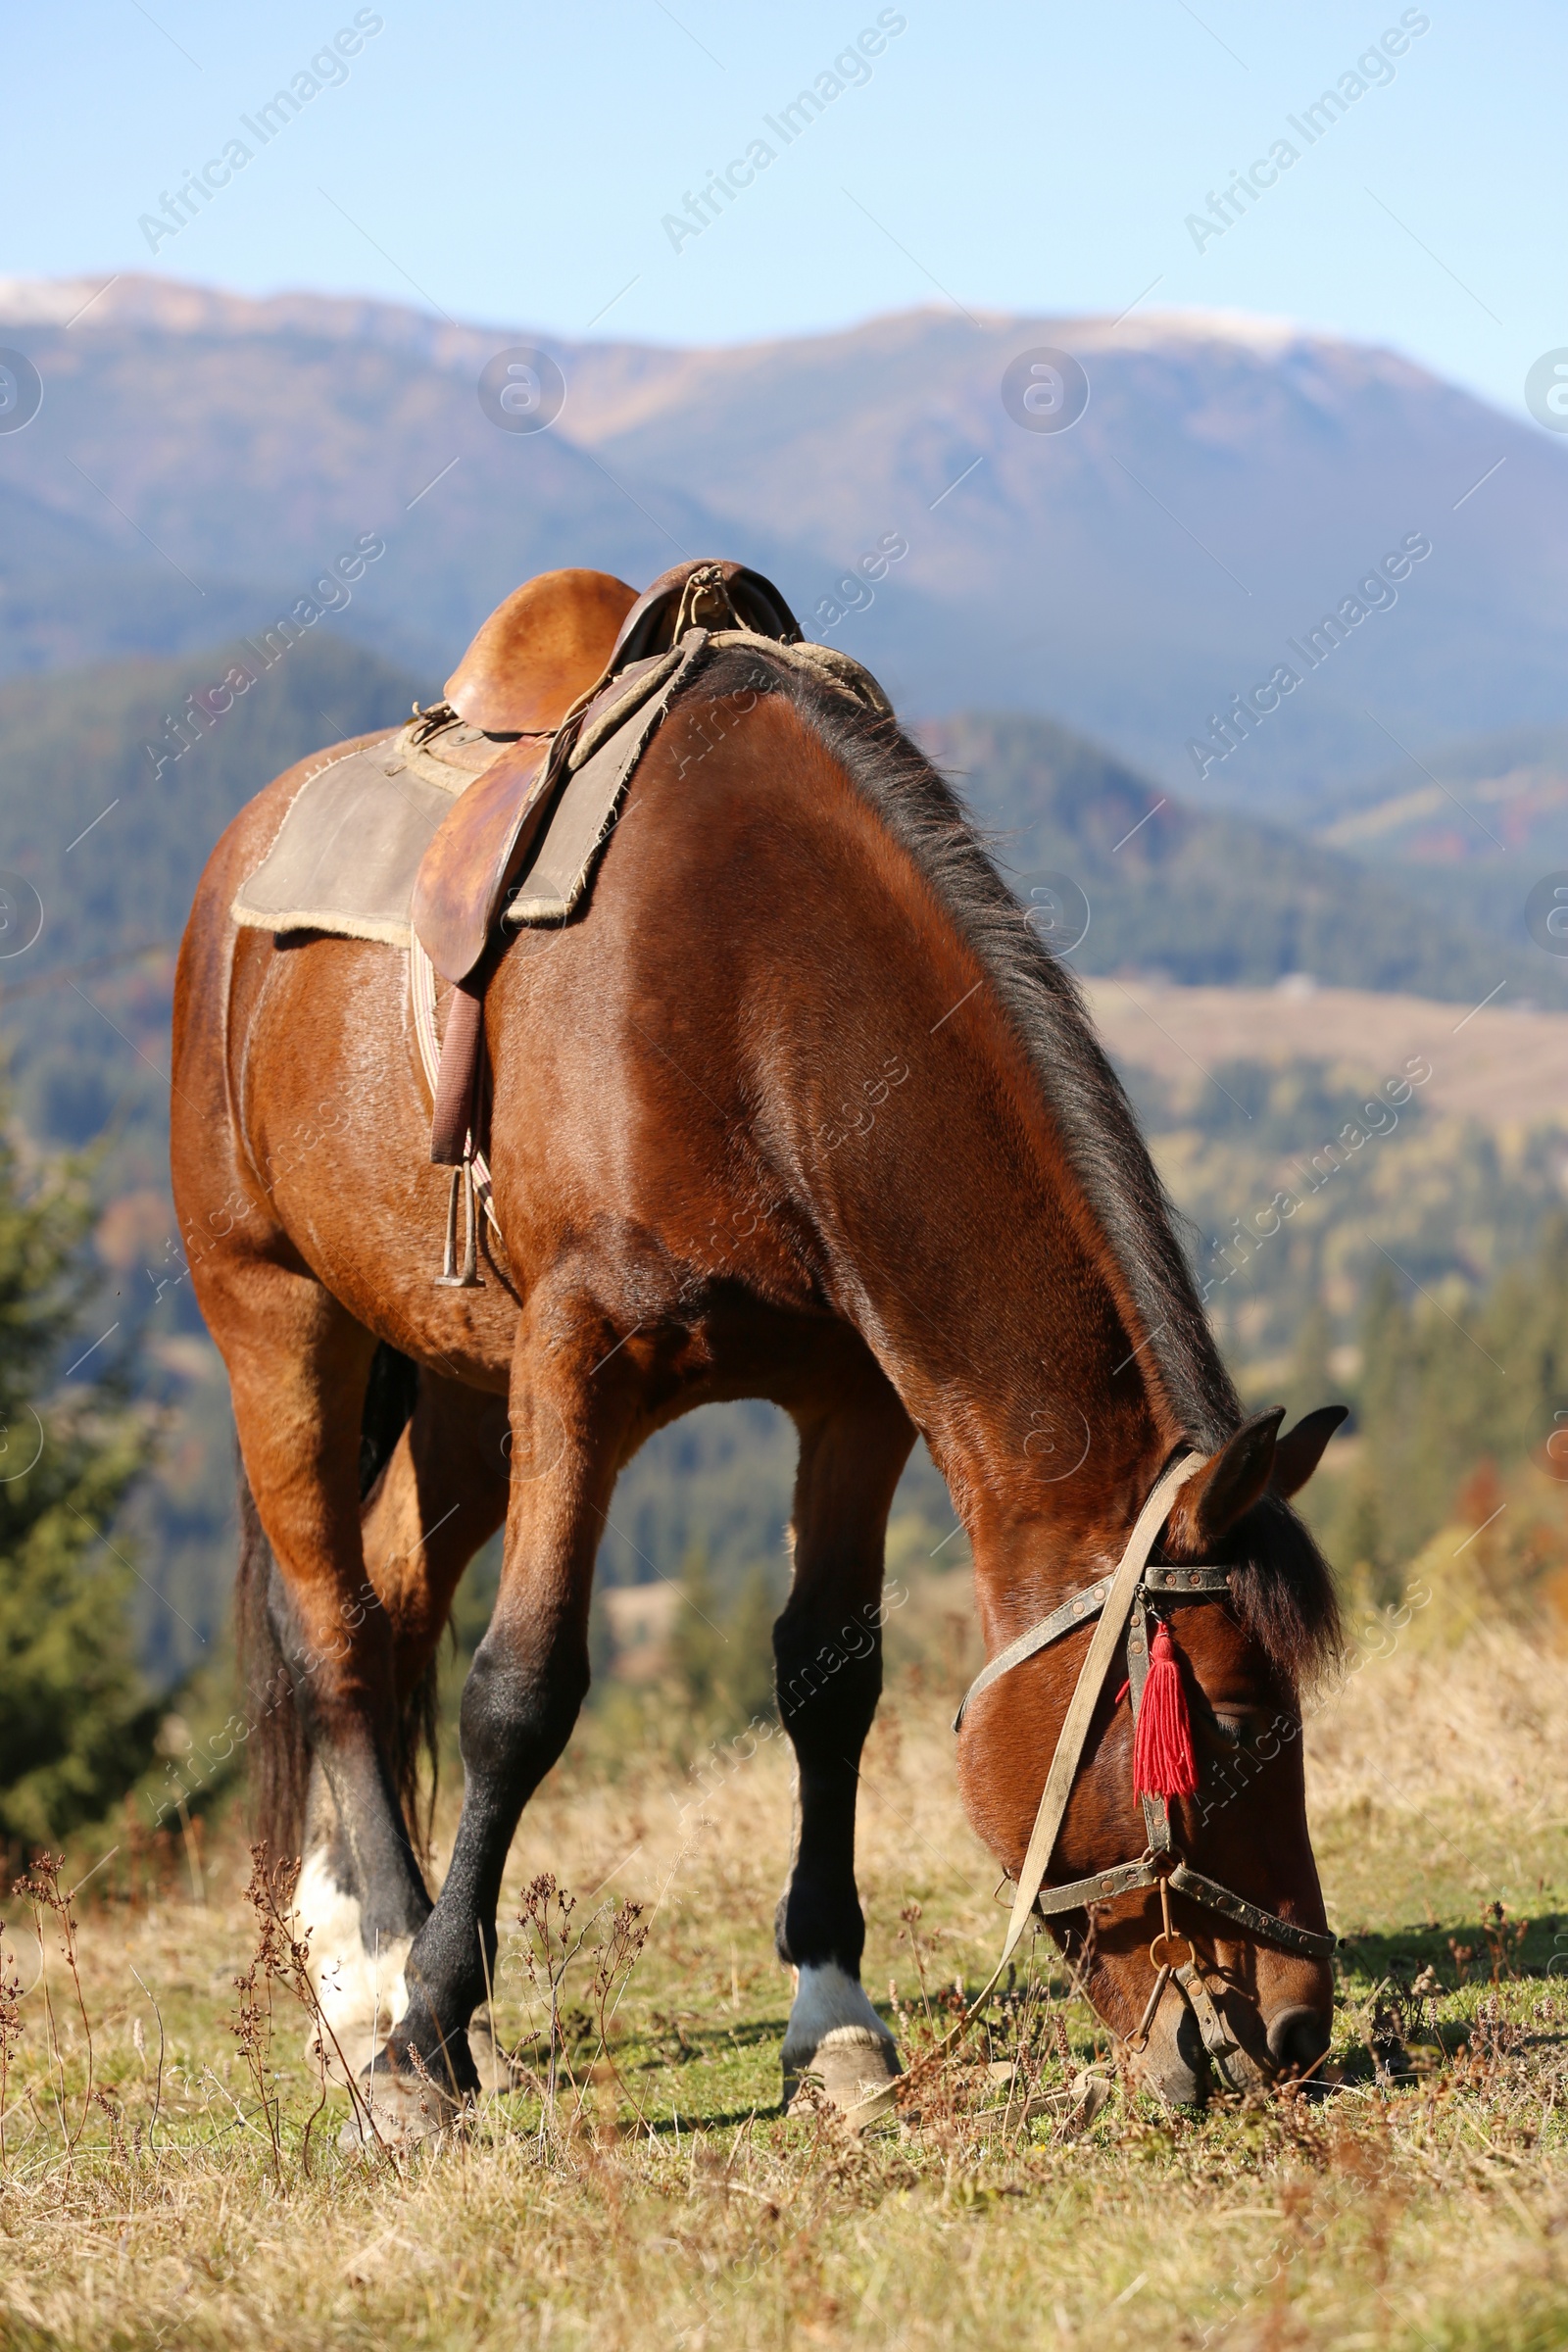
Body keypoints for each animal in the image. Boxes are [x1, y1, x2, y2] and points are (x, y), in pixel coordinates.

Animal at [174, 597, 1353, 2126]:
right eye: (1230, 1727)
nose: (1296, 2028)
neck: (762, 1001)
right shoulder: (578, 1360)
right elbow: (521, 1693)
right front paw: (429, 2040)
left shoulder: (852, 1396)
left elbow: (826, 1680)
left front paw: (834, 2016)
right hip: (273, 1310)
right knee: (336, 1625)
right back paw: (378, 1972)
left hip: (458, 1387)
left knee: (391, 1596)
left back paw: (355, 1933)